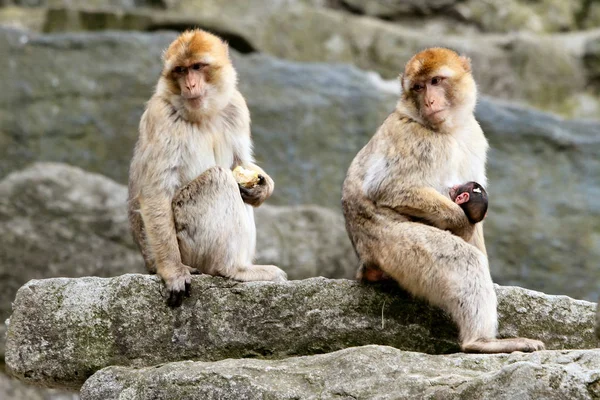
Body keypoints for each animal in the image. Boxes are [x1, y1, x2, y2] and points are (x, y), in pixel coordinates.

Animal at [127, 29, 288, 308]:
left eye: (197, 67)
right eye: (180, 70)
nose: (190, 85)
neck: (203, 114)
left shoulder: (237, 106)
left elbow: (240, 163)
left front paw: (261, 187)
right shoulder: (161, 115)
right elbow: (155, 192)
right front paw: (172, 271)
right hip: (189, 246)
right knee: (218, 178)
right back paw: (234, 269)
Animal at [342, 47, 544, 354]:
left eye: (435, 81)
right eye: (418, 87)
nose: (429, 100)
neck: (448, 130)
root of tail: (366, 261)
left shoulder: (474, 134)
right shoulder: (416, 139)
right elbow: (388, 188)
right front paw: (460, 221)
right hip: (393, 245)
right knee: (462, 260)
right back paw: (479, 342)